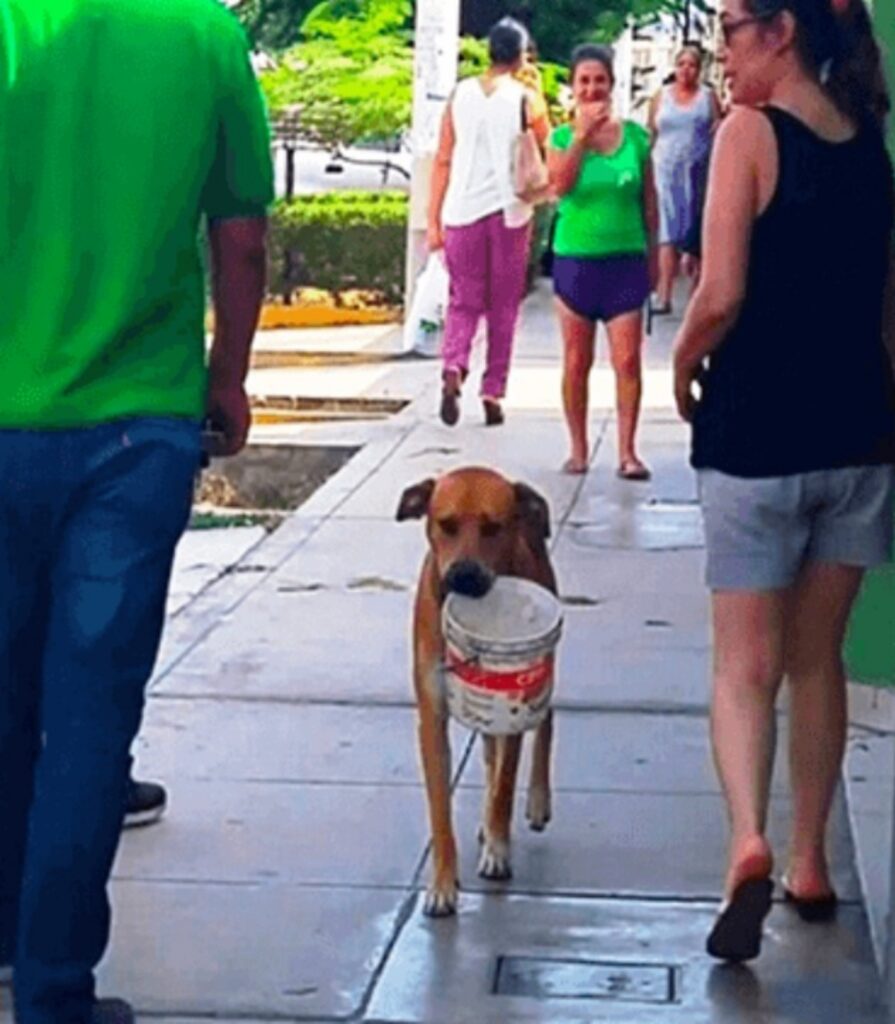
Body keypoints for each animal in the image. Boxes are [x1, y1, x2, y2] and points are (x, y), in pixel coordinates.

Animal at [399, 468, 557, 917]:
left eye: (493, 527)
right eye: (445, 524)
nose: (464, 575)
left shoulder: (516, 708)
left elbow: (505, 784)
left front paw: (499, 850)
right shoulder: (431, 719)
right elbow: (440, 807)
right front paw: (442, 883)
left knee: (546, 722)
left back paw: (536, 801)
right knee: (489, 751)